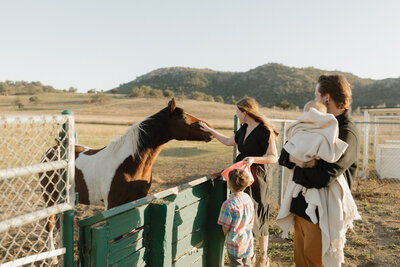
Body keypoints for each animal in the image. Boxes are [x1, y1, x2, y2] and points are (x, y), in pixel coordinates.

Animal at [39, 98, 214, 264]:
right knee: (50, 224)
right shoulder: (112, 205)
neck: (128, 163)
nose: (210, 129)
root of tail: (50, 152)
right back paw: (52, 258)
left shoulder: (134, 202)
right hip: (50, 197)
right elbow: (117, 238)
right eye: (184, 117)